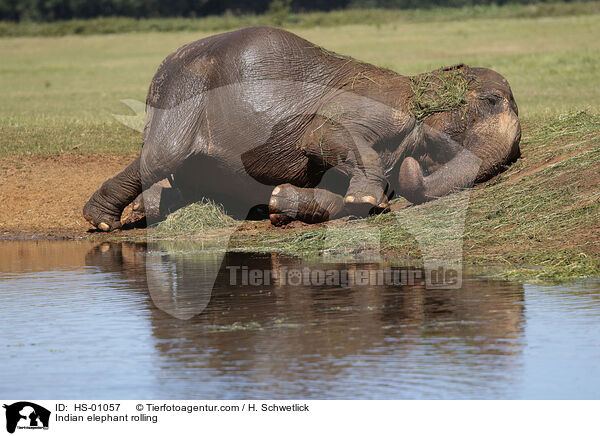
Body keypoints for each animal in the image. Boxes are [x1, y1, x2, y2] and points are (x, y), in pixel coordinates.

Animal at [84, 26, 520, 232]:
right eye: (492, 100)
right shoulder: (371, 107)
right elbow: (321, 137)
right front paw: (371, 200)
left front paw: (280, 206)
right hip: (184, 90)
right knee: (163, 155)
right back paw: (103, 221)